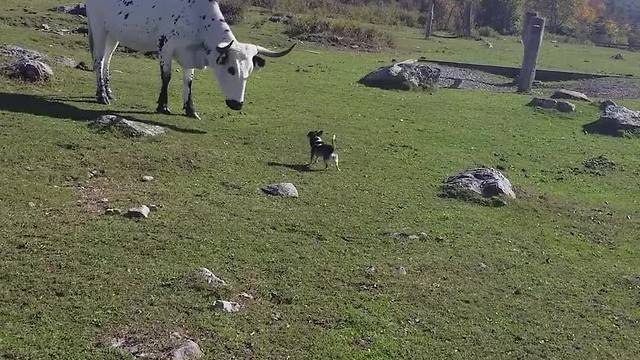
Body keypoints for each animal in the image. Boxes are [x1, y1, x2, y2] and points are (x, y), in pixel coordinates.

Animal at [85, 0, 296, 116]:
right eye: (231, 69)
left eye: (249, 72)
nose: (237, 104)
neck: (197, 17)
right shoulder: (165, 46)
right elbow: (167, 77)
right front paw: (163, 106)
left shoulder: (190, 55)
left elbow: (189, 81)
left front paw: (190, 109)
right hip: (98, 28)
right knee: (98, 60)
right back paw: (102, 95)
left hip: (113, 35)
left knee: (107, 60)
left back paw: (108, 91)